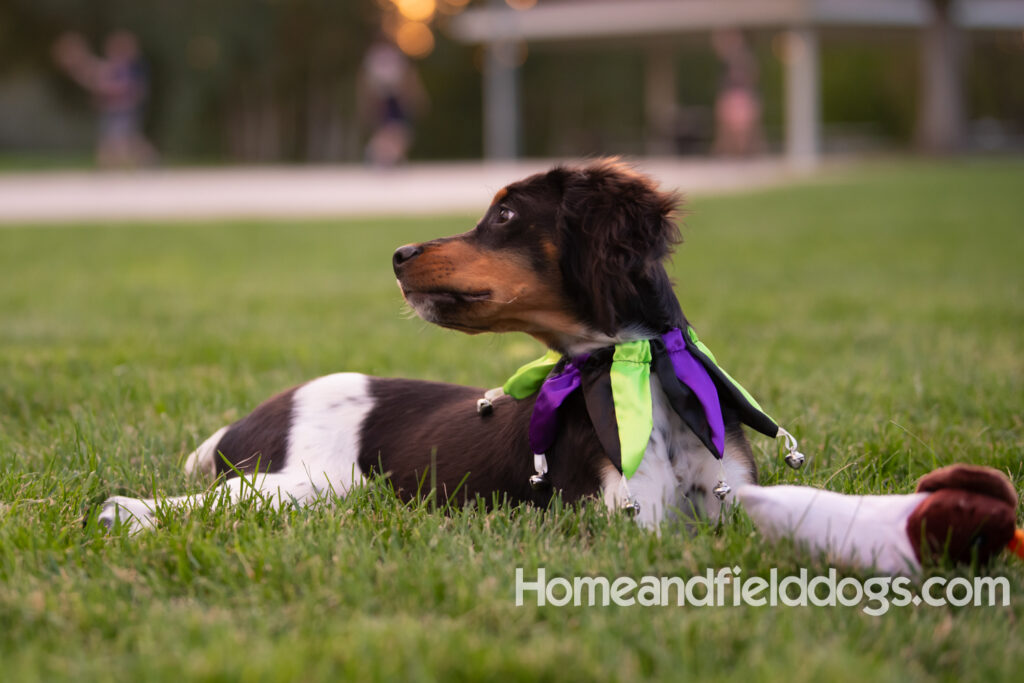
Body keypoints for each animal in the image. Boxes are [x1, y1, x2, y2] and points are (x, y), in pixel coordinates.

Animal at [99, 157, 761, 532]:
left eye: (506, 214)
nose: (397, 254)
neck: (639, 371)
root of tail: (246, 420)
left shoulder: (734, 498)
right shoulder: (625, 516)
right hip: (312, 481)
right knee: (216, 496)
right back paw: (124, 513)